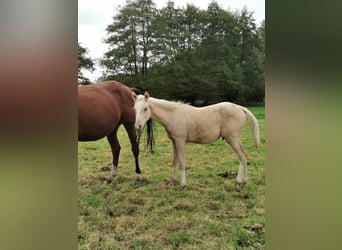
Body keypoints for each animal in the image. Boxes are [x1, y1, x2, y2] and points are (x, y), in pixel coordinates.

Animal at [132, 92, 260, 191]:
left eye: (145, 108)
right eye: (134, 109)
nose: (137, 127)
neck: (172, 115)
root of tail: (240, 108)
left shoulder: (180, 141)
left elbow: (182, 162)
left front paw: (182, 185)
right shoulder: (174, 141)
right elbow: (175, 161)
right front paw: (173, 182)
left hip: (232, 139)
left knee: (242, 156)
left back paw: (238, 183)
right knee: (244, 156)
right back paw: (244, 182)